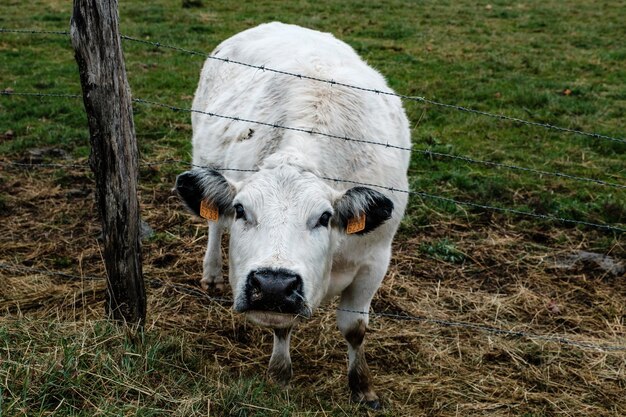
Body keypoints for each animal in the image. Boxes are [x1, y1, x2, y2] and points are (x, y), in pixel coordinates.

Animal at [176, 22, 410, 406]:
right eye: (241, 210)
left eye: (325, 217)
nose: (273, 283)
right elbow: (282, 326)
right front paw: (280, 374)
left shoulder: (375, 259)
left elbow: (355, 328)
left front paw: (362, 386)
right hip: (203, 160)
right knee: (213, 223)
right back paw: (212, 273)